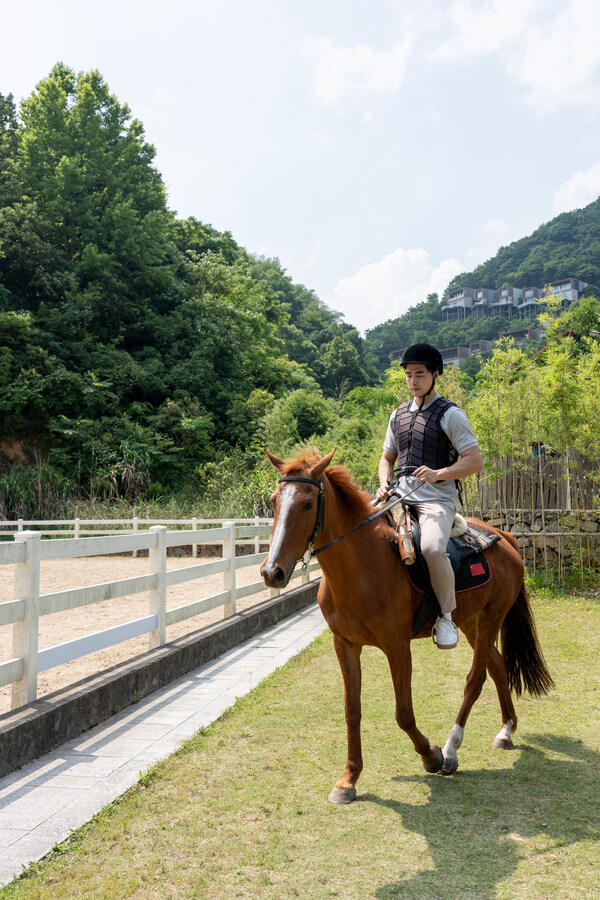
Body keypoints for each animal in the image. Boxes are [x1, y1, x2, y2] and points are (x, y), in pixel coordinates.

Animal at [260, 446, 556, 804]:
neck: (361, 566)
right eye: (274, 501)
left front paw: (431, 755)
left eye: (306, 504)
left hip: (490, 620)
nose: (272, 571)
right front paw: (349, 779)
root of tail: (504, 536)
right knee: (498, 669)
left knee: (476, 679)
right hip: (471, 623)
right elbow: (352, 710)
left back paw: (451, 749)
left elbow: (403, 713)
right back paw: (506, 730)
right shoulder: (345, 645)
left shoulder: (397, 647)